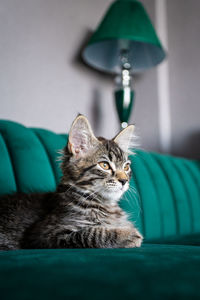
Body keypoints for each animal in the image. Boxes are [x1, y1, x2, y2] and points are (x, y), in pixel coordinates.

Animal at [0, 116, 144, 250]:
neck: (105, 205)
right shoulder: (43, 235)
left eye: (126, 167)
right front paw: (129, 235)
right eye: (105, 165)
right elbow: (91, 233)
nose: (124, 180)